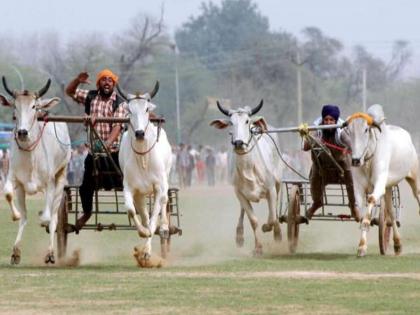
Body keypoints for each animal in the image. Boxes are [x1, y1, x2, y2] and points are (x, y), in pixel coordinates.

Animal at [0, 78, 70, 266]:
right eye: (14, 106)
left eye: (34, 106)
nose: (22, 132)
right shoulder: (14, 180)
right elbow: (8, 195)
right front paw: (15, 216)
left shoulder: (50, 184)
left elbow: (48, 218)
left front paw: (44, 221)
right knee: (26, 217)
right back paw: (16, 251)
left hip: (61, 179)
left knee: (54, 218)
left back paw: (50, 253)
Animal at [116, 82, 172, 266]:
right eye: (129, 110)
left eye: (147, 109)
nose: (140, 133)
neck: (143, 157)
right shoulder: (130, 189)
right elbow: (132, 211)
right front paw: (143, 233)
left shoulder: (159, 187)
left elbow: (155, 215)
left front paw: (147, 251)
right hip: (142, 195)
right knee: (145, 216)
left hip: (165, 180)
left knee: (164, 203)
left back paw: (164, 228)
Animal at [210, 101, 282, 256]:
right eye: (231, 122)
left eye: (247, 121)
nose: (238, 143)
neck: (249, 167)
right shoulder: (239, 193)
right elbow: (253, 220)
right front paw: (258, 248)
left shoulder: (271, 189)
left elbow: (272, 217)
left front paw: (273, 231)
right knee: (242, 211)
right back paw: (239, 235)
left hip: (278, 182)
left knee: (274, 210)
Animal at [344, 105, 420, 258]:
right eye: (349, 131)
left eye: (366, 129)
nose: (355, 160)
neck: (368, 160)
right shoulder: (359, 188)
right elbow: (363, 214)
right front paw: (361, 247)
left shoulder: (379, 185)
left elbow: (370, 205)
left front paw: (362, 245)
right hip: (389, 188)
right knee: (391, 213)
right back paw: (397, 245)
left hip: (414, 179)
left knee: (417, 198)